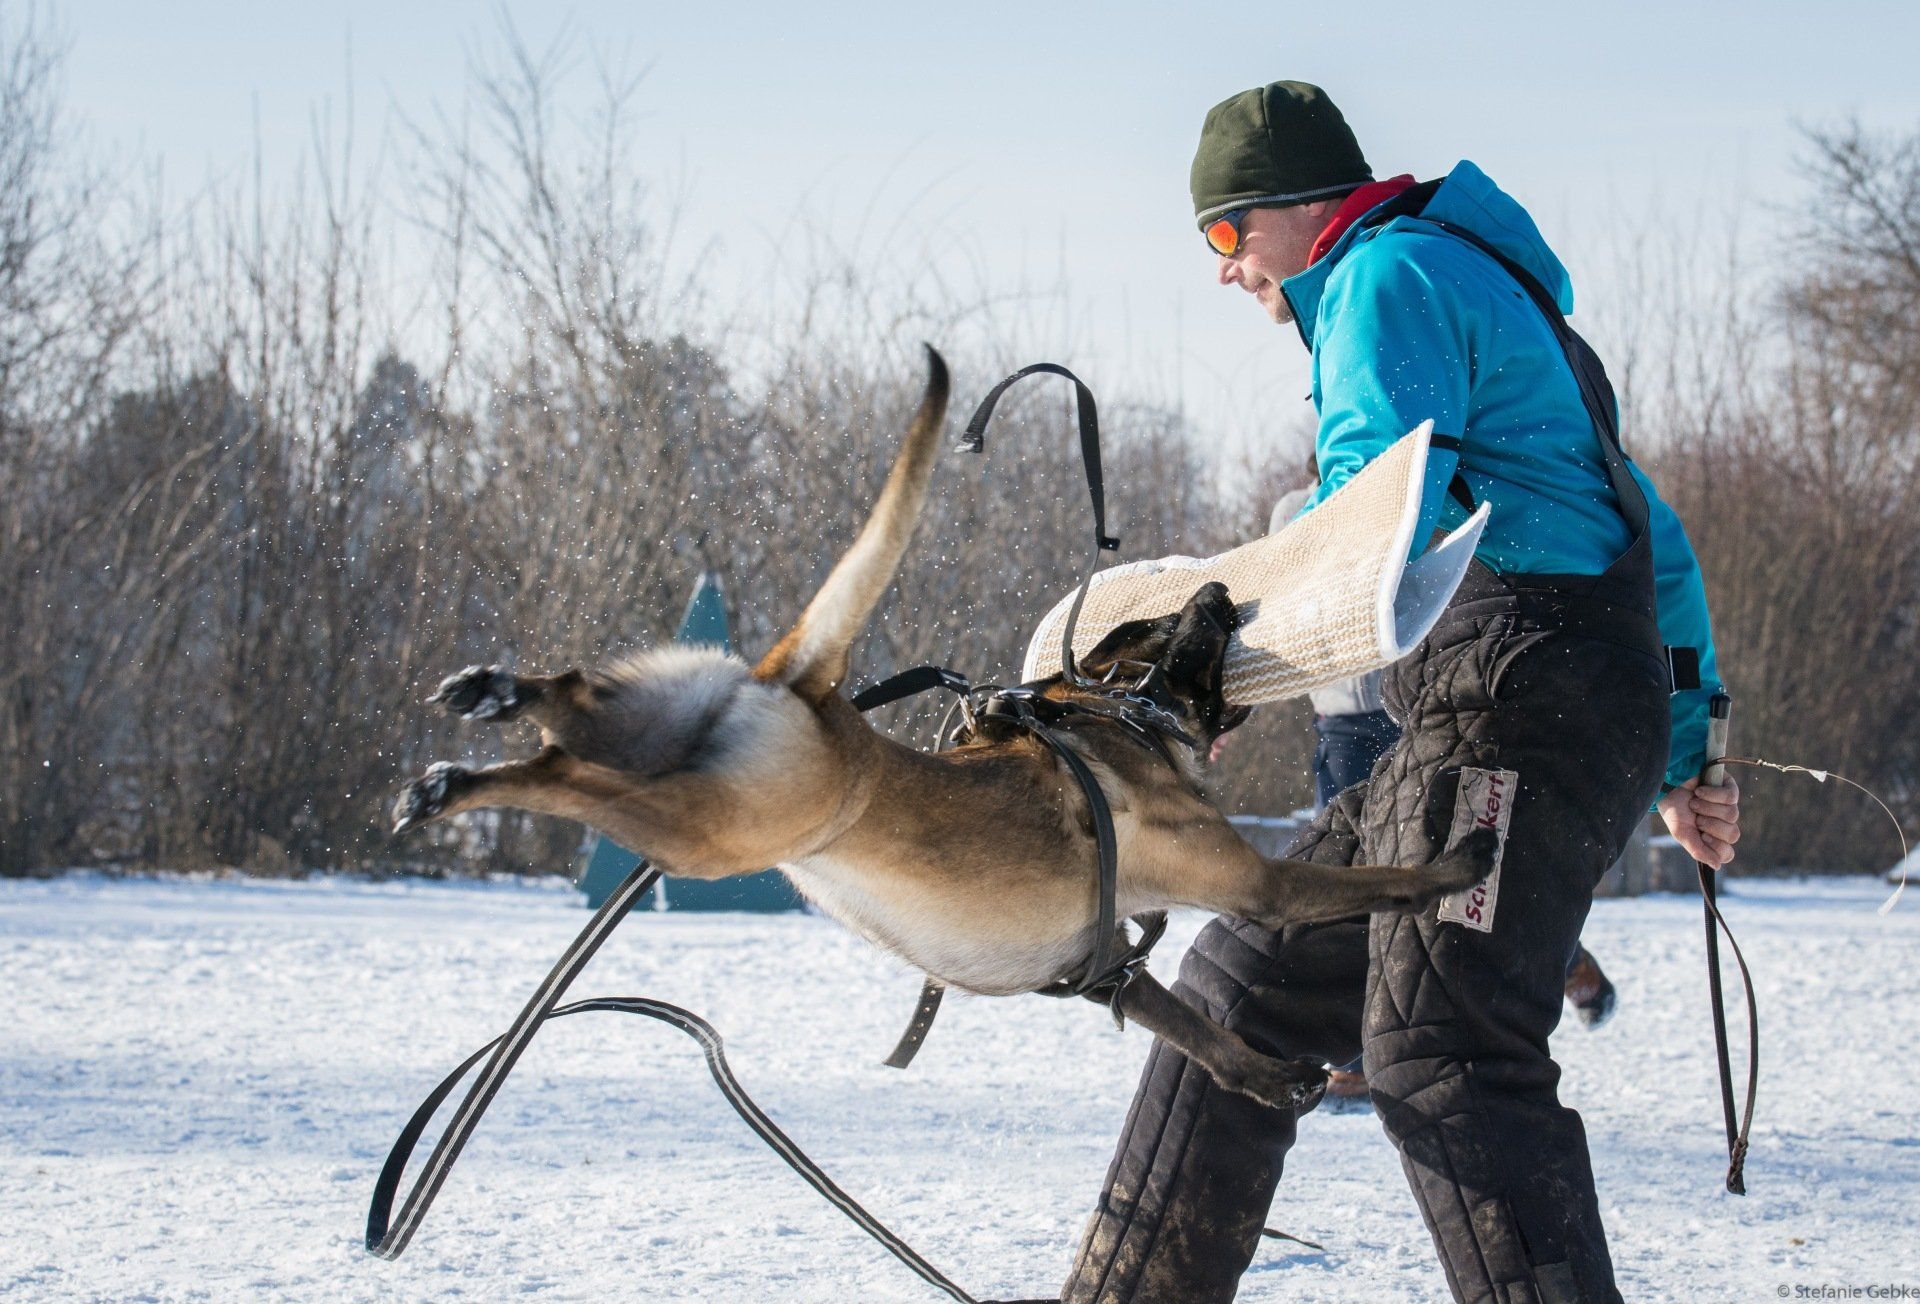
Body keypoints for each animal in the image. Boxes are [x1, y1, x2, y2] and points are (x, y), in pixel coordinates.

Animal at [390, 348, 1494, 1110]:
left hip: (662, 726)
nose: (1224, 589)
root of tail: (802, 684)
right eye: (1193, 628)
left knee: (571, 704)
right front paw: (1460, 860)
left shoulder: (1109, 972)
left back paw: (482, 711)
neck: (1120, 708)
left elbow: (1196, 1032)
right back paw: (456, 779)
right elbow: (1376, 881)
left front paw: (1273, 1080)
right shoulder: (1257, 882)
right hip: (707, 826)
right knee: (568, 778)